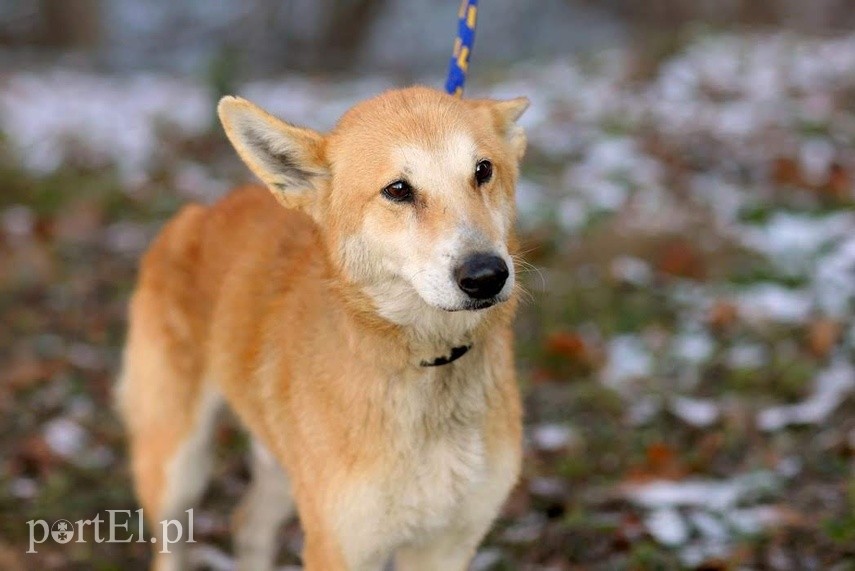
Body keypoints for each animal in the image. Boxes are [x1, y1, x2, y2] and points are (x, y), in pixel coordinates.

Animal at [114, 86, 528, 571]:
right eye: (398, 190)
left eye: (483, 170)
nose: (486, 275)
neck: (430, 362)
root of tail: (199, 211)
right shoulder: (339, 547)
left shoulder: (449, 544)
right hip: (176, 468)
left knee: (247, 523)